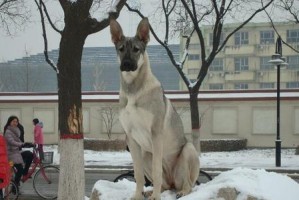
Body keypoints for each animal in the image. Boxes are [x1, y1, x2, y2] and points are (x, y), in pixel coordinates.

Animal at [110, 18, 202, 199]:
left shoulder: (156, 133)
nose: (126, 64)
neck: (133, 89)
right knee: (166, 184)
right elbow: (138, 174)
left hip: (188, 151)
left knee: (188, 184)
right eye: (121, 49)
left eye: (136, 49)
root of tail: (174, 183)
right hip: (146, 154)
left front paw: (156, 197)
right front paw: (138, 195)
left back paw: (181, 191)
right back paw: (152, 191)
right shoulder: (131, 138)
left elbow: (156, 170)